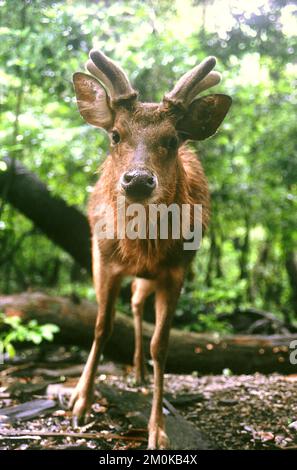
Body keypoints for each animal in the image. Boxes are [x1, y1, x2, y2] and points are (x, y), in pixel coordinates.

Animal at [70, 49, 231, 450]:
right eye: (115, 134)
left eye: (173, 140)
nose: (139, 180)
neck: (141, 246)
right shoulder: (105, 258)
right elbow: (101, 327)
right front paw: (81, 403)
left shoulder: (177, 270)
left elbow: (162, 344)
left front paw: (158, 431)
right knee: (126, 306)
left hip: (152, 278)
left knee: (137, 303)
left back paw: (141, 373)